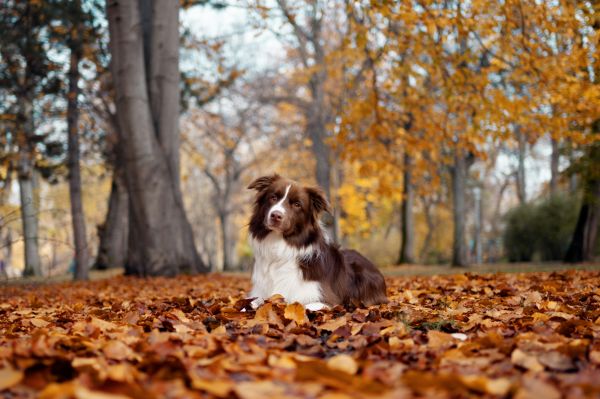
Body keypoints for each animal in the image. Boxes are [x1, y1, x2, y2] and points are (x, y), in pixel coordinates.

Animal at [246, 173, 386, 310]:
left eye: (297, 204)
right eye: (273, 197)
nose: (275, 215)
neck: (279, 247)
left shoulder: (327, 299)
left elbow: (303, 306)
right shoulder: (259, 293)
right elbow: (250, 303)